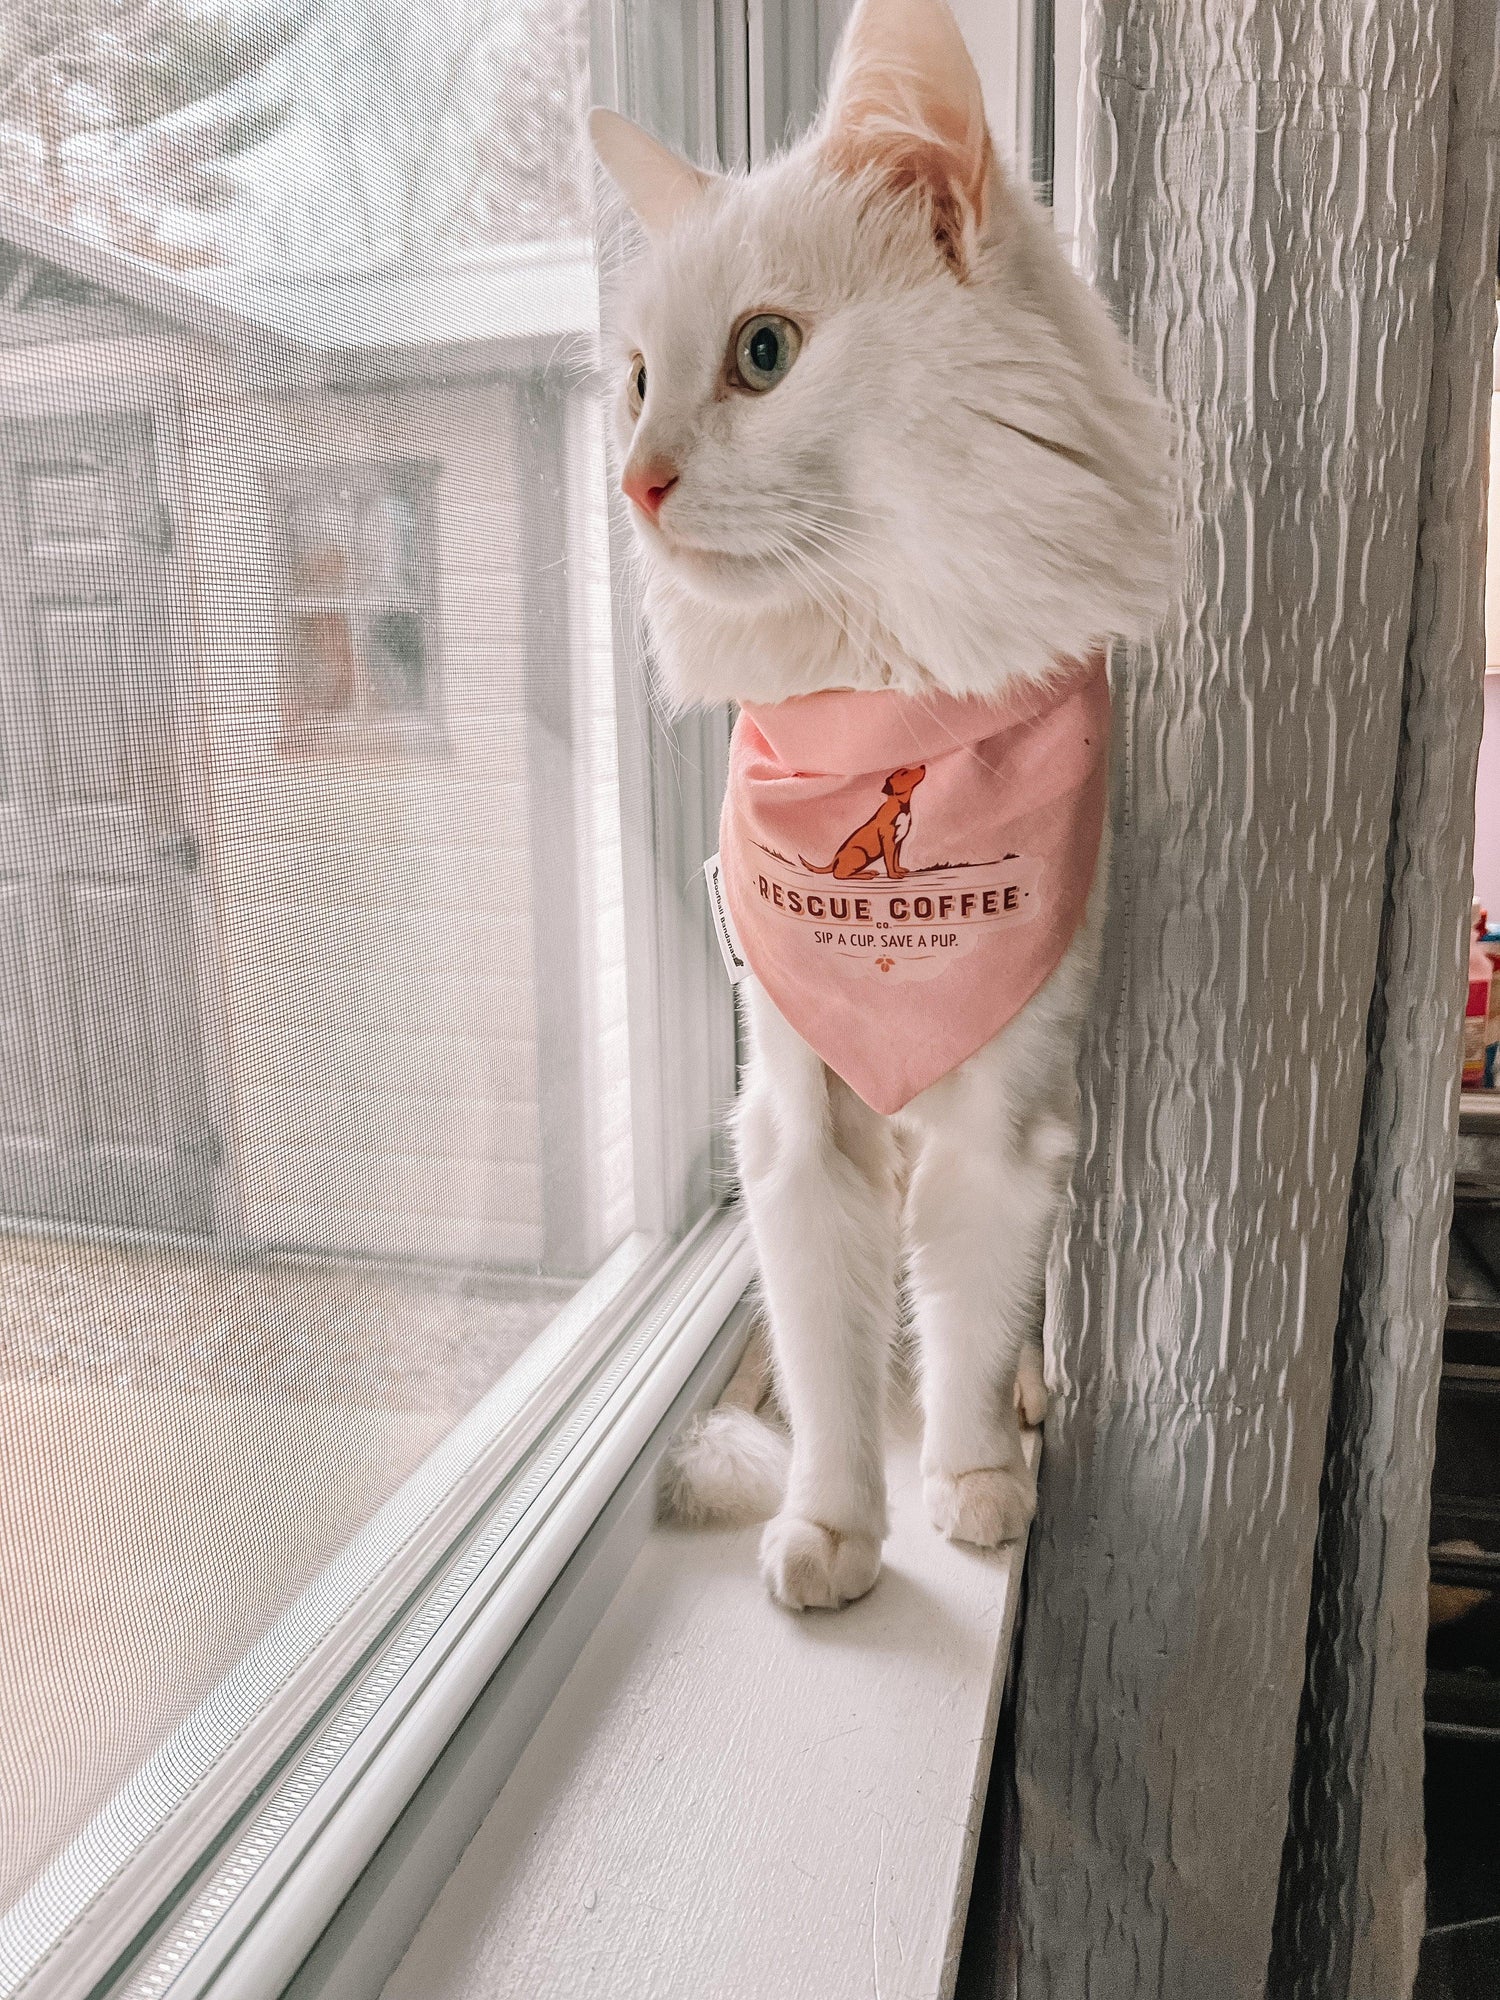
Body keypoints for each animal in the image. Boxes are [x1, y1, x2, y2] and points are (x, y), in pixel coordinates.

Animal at [592, 0, 1184, 1608]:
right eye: (636, 380)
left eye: (764, 355)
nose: (633, 482)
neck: (880, 688)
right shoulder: (798, 1116)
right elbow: (828, 1359)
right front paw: (834, 1526)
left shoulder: (1006, 1124)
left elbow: (969, 1324)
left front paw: (976, 1483)